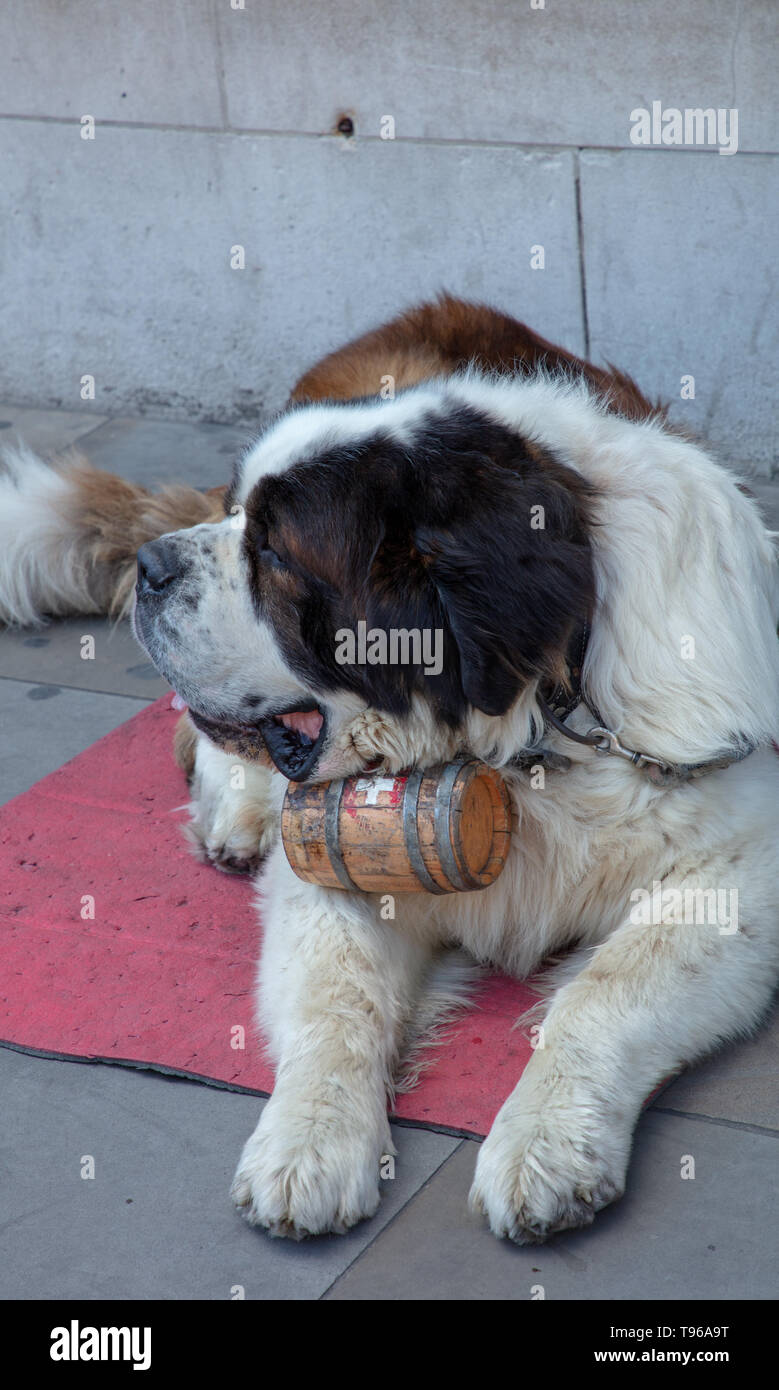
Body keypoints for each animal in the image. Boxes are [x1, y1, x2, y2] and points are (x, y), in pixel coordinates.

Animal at [1, 298, 779, 1245]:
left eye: (274, 554)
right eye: (237, 514)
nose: (152, 564)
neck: (535, 716)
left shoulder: (735, 870)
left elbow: (604, 992)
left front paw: (544, 1141)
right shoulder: (333, 850)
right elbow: (339, 997)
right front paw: (306, 1144)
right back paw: (238, 810)